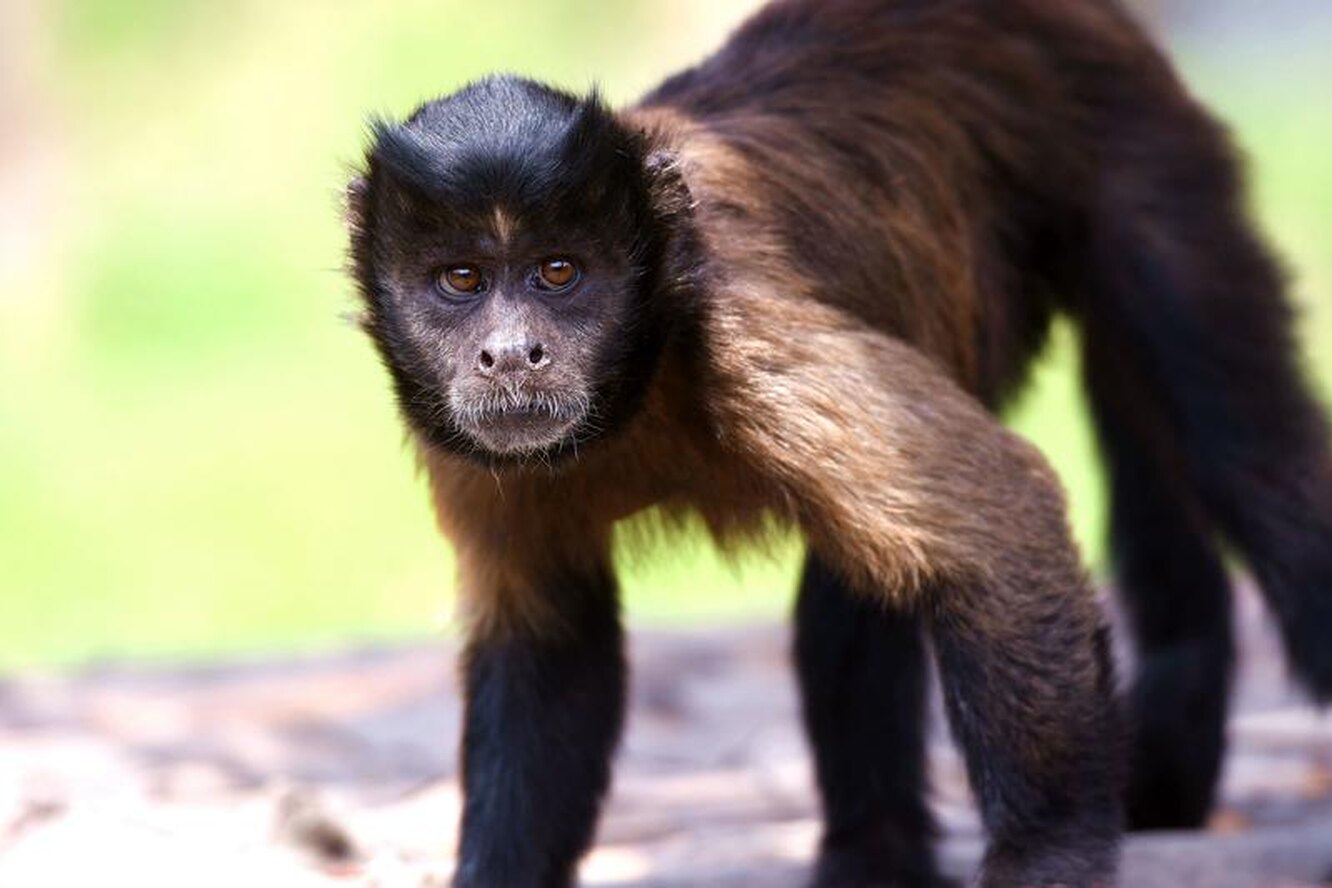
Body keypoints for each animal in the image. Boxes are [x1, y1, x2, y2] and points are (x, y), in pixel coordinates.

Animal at [346, 1, 1332, 888]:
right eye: (462, 281)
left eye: (558, 272)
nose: (513, 352)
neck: (644, 366)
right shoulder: (460, 432)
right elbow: (552, 646)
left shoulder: (746, 331)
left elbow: (1005, 520)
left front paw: (1046, 860)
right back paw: (878, 857)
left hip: (1147, 158)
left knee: (1249, 461)